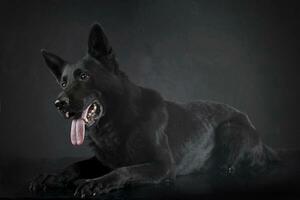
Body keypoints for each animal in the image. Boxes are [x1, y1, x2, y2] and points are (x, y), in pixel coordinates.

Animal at [29, 23, 278, 197]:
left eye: (83, 76)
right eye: (63, 83)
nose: (58, 103)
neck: (117, 121)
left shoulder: (162, 166)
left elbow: (123, 171)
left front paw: (95, 183)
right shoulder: (103, 160)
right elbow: (76, 165)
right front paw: (54, 177)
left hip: (230, 128)